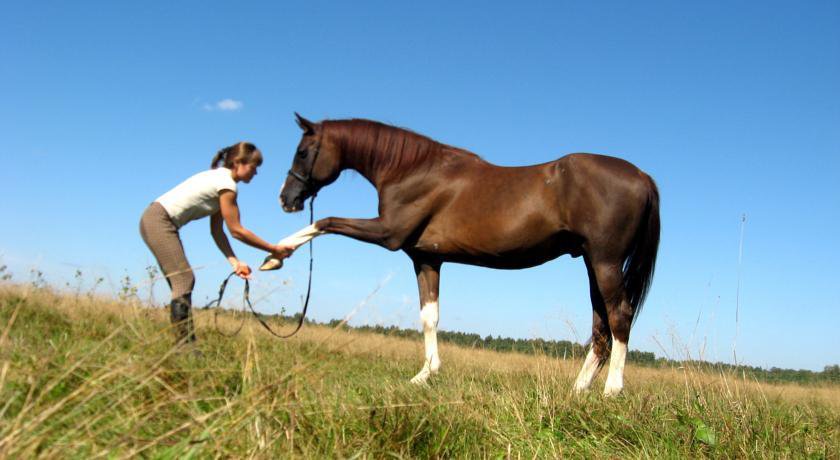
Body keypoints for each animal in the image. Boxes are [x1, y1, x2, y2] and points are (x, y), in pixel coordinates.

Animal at [266, 114, 660, 396]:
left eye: (303, 152)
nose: (286, 199)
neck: (412, 170)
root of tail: (643, 175)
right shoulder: (426, 259)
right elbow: (430, 317)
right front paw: (424, 375)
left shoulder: (387, 234)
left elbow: (326, 222)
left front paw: (274, 256)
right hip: (592, 264)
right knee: (601, 326)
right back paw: (578, 390)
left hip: (606, 262)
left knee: (619, 317)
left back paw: (611, 390)